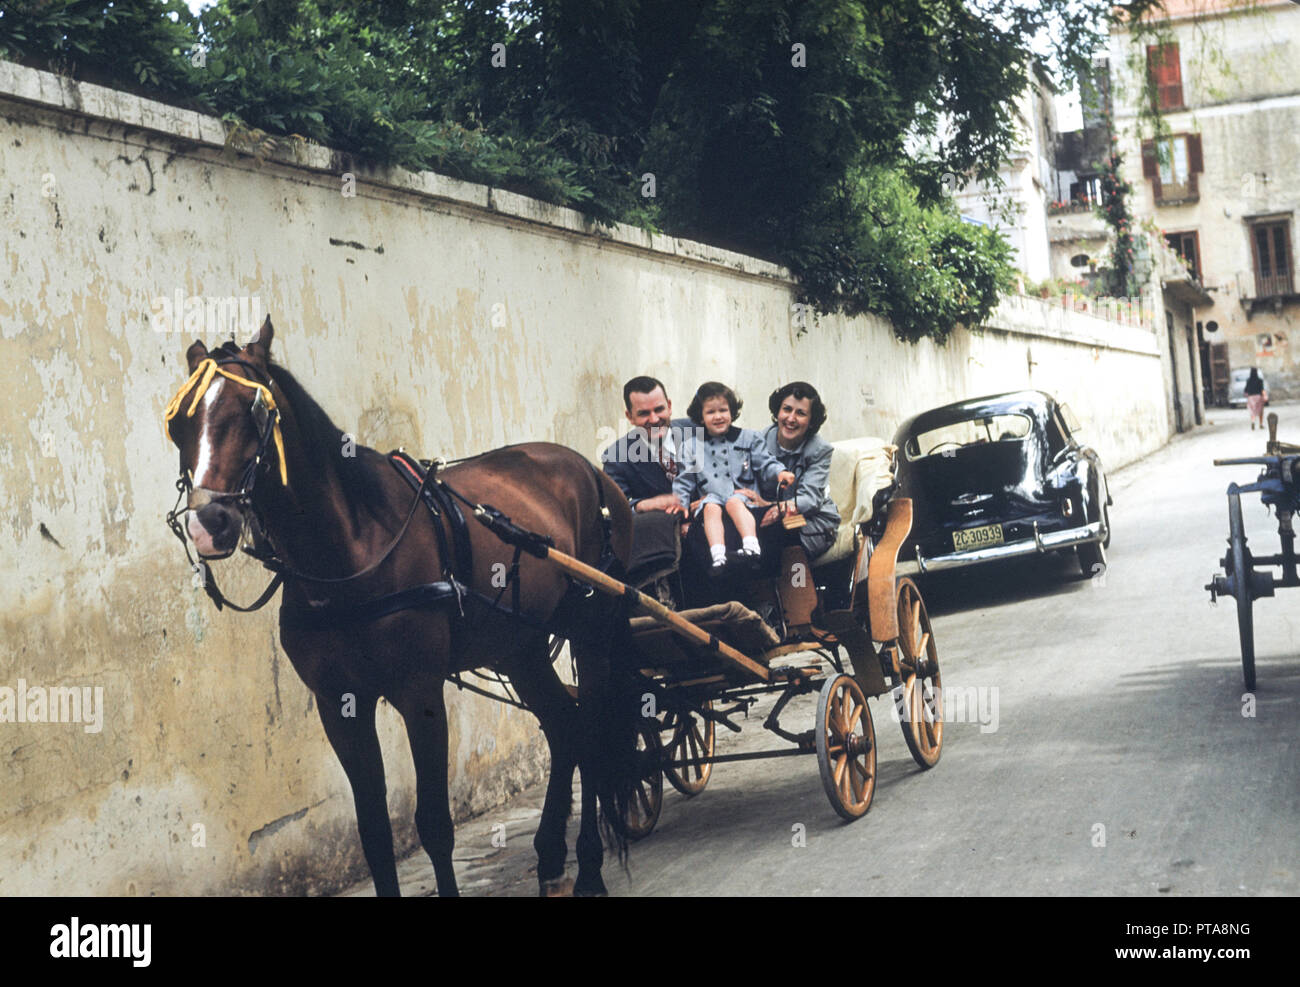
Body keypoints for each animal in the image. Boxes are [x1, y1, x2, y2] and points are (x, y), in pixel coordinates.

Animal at [162, 315, 639, 894]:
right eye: (179, 424)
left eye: (252, 413)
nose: (209, 525)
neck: (348, 552)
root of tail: (590, 470)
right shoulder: (338, 704)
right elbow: (373, 834)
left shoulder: (419, 691)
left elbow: (434, 824)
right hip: (517, 648)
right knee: (564, 725)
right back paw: (550, 857)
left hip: (591, 628)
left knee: (589, 730)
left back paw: (589, 865)